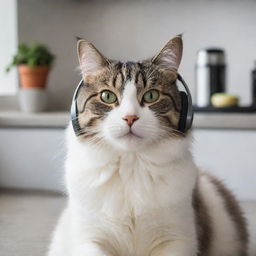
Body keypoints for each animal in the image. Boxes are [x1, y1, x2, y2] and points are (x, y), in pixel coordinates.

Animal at [47, 35, 248, 256]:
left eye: (151, 96)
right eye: (107, 96)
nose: (130, 117)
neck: (130, 167)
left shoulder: (177, 240)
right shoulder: (89, 239)